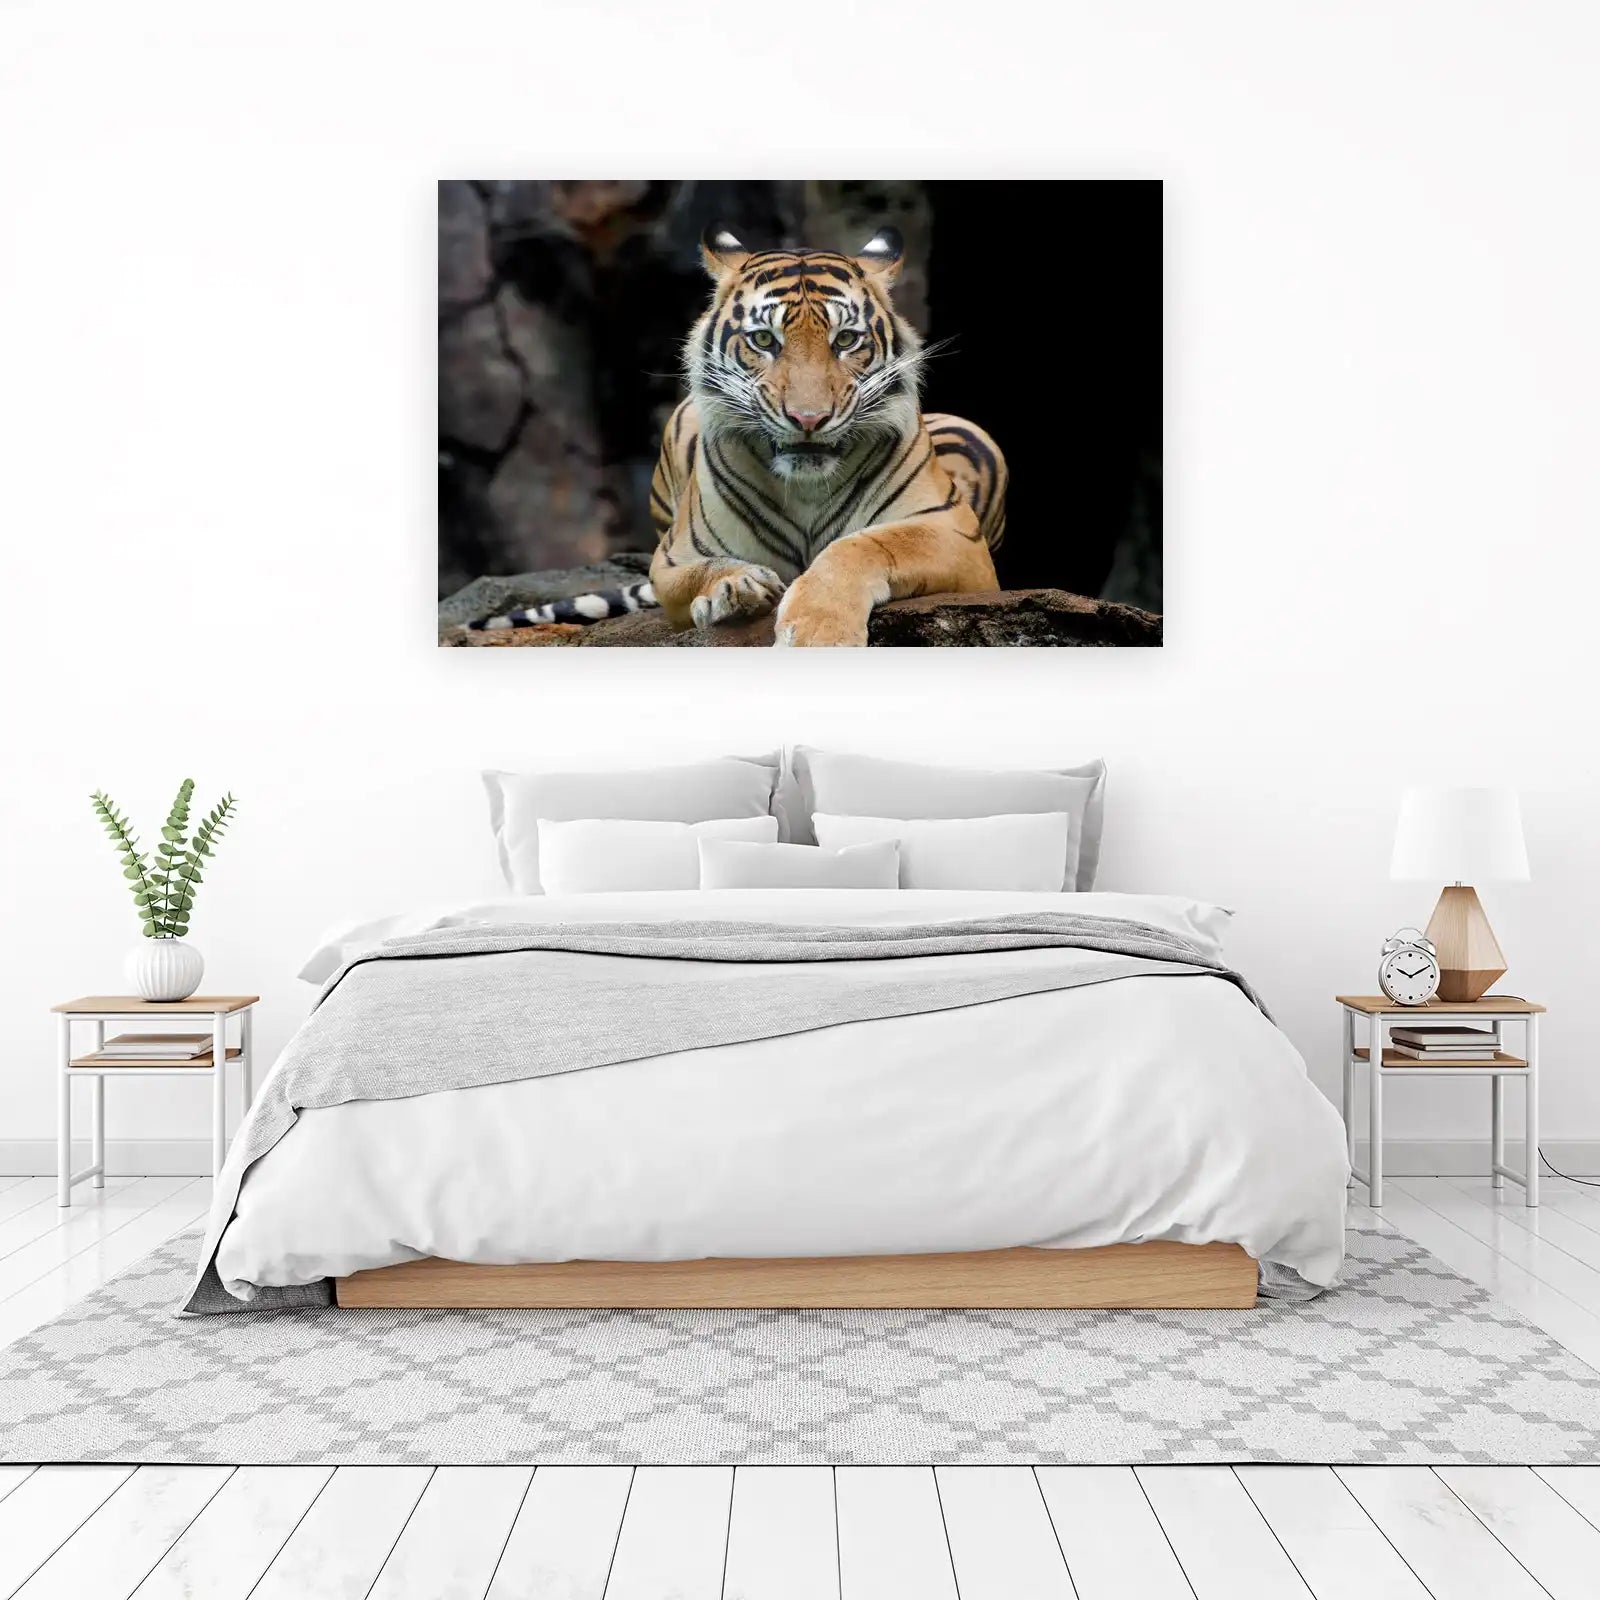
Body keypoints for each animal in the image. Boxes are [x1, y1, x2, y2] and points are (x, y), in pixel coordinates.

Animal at [650, 225, 1007, 647]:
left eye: (846, 339)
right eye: (764, 340)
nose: (809, 418)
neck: (806, 488)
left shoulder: (954, 533)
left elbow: (863, 545)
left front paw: (817, 631)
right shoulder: (671, 558)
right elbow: (700, 571)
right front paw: (737, 586)